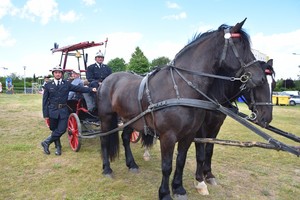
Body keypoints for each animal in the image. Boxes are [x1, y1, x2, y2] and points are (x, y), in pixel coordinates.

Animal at [97, 18, 266, 198]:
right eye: (241, 46)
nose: (260, 78)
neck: (180, 88)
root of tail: (108, 79)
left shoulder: (189, 135)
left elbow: (180, 161)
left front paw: (178, 188)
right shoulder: (168, 136)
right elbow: (167, 166)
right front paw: (165, 193)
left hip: (130, 120)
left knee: (125, 138)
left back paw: (132, 164)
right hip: (106, 117)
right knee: (104, 140)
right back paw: (107, 169)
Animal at [193, 59, 276, 195]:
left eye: (273, 84)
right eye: (260, 83)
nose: (266, 119)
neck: (214, 95)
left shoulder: (216, 125)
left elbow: (209, 150)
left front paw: (209, 175)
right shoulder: (201, 128)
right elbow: (201, 152)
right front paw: (200, 180)